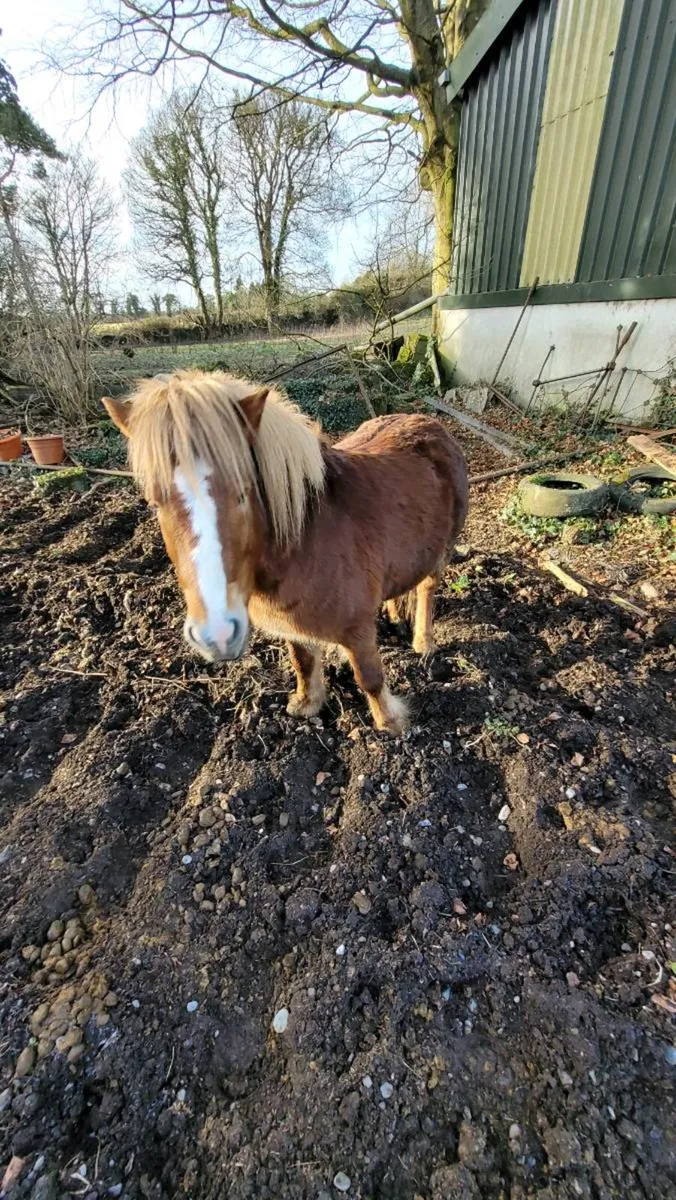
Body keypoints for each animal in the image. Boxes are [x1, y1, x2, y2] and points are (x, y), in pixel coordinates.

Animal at [103, 369, 468, 735]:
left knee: (427, 588)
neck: (304, 541)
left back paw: (423, 642)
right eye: (154, 503)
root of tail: (428, 422)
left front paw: (390, 722)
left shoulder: (357, 629)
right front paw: (307, 704)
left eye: (242, 495)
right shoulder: (291, 624)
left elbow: (369, 677)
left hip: (443, 549)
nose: (217, 635)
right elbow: (302, 662)